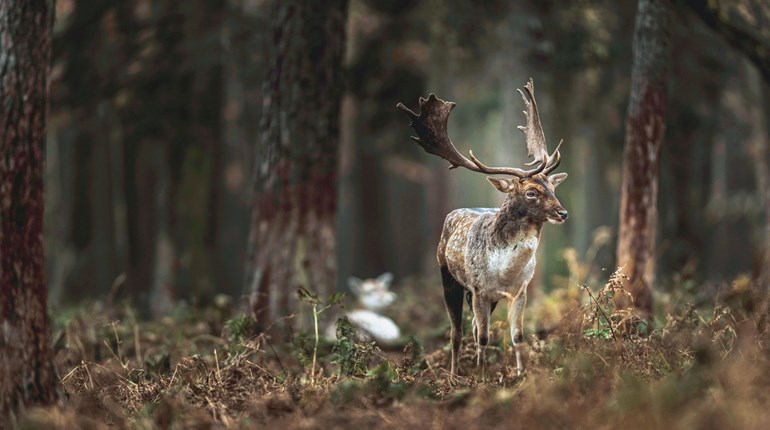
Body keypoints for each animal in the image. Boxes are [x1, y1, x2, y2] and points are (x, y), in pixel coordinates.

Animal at [396, 79, 568, 376]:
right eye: (531, 192)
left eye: (553, 188)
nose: (563, 213)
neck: (505, 272)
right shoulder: (478, 289)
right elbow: (484, 336)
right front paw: (480, 375)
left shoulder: (519, 290)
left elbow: (517, 336)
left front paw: (520, 375)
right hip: (448, 277)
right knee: (457, 331)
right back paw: (454, 374)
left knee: (474, 328)